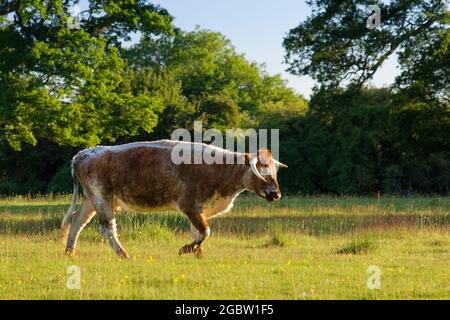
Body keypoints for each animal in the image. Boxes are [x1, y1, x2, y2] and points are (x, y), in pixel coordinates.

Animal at [61, 140, 286, 258]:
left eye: (274, 171)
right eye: (262, 172)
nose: (276, 194)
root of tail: (84, 153)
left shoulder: (200, 210)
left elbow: (198, 231)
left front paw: (197, 253)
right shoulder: (189, 205)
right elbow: (205, 231)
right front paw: (186, 249)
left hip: (91, 200)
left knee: (77, 221)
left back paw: (70, 252)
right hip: (102, 198)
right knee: (107, 227)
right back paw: (123, 254)